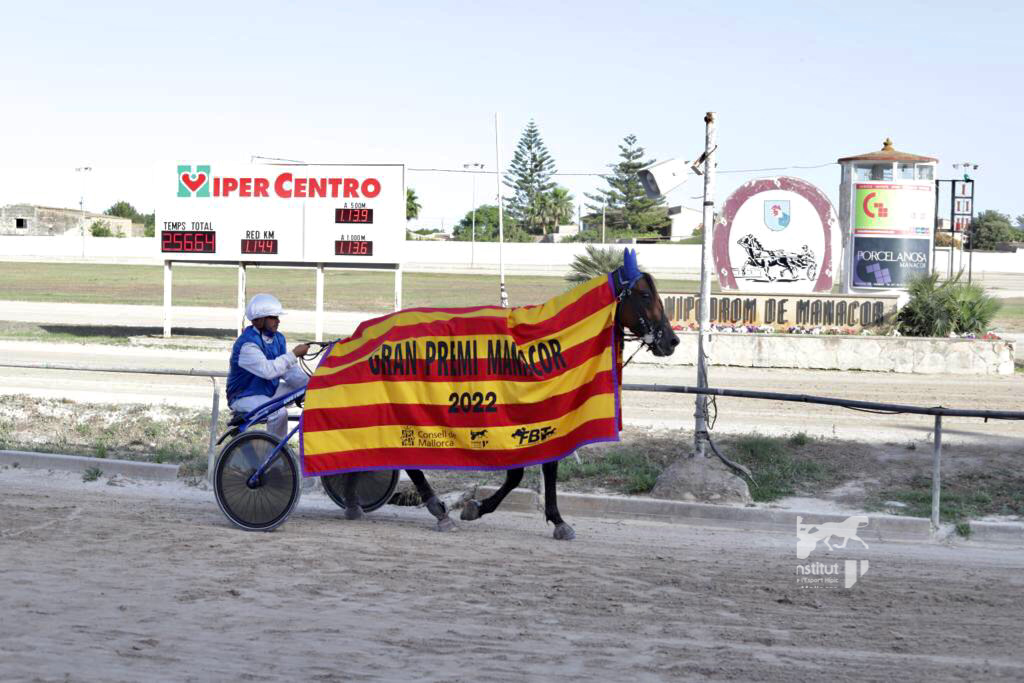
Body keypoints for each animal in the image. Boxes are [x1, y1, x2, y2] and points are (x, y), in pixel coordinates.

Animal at [335, 250, 679, 540]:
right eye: (645, 295)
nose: (672, 341)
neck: (543, 343)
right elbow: (519, 474)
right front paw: (480, 508)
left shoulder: (543, 420)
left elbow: (539, 469)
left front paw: (555, 519)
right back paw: (435, 510)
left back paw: (353, 501)